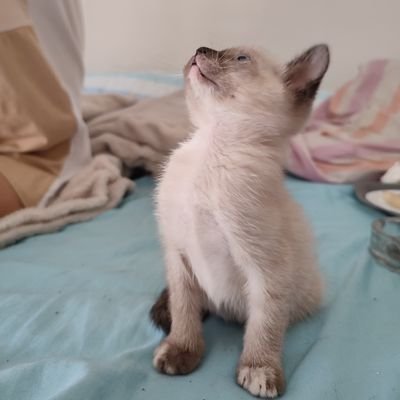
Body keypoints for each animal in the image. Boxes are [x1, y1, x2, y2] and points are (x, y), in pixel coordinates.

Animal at [152, 42, 330, 398]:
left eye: (240, 59)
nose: (200, 49)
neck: (211, 148)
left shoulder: (267, 270)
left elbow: (264, 325)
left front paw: (259, 368)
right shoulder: (177, 254)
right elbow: (183, 308)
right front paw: (182, 349)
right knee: (190, 302)